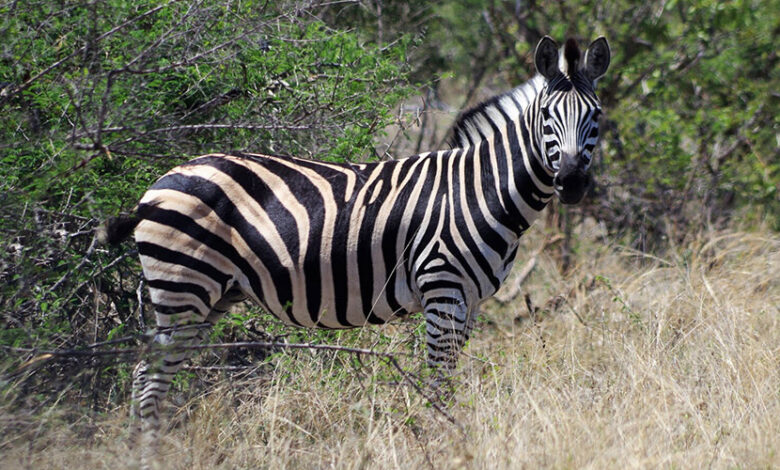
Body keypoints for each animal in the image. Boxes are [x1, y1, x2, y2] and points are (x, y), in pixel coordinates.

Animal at [100, 35, 608, 444]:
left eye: (596, 117)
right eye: (547, 117)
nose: (571, 183)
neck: (480, 189)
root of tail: (158, 183)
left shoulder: (471, 299)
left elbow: (450, 378)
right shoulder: (442, 288)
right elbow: (439, 381)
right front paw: (442, 443)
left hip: (210, 295)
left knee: (150, 373)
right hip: (181, 288)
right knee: (148, 376)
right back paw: (147, 454)